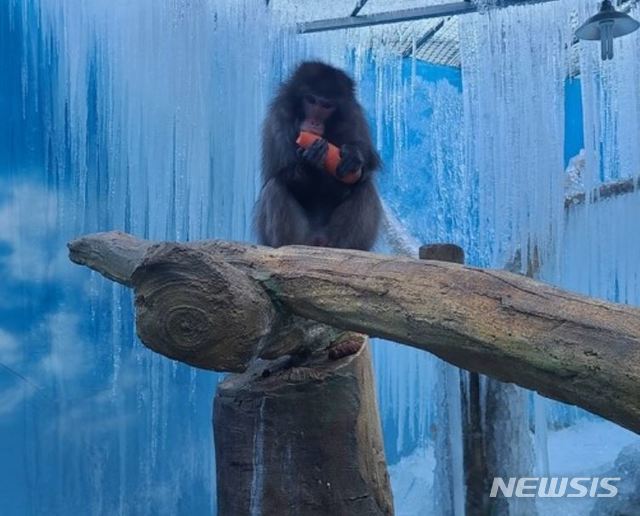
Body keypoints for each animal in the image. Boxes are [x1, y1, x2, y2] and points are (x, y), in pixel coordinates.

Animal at [255, 61, 382, 251]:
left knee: (364, 187)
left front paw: (354, 155)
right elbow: (284, 173)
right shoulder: (279, 117)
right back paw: (288, 246)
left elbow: (365, 166)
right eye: (311, 100)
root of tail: (318, 241)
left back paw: (346, 249)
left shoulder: (352, 117)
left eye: (327, 106)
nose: (314, 122)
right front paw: (310, 164)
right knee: (275, 186)